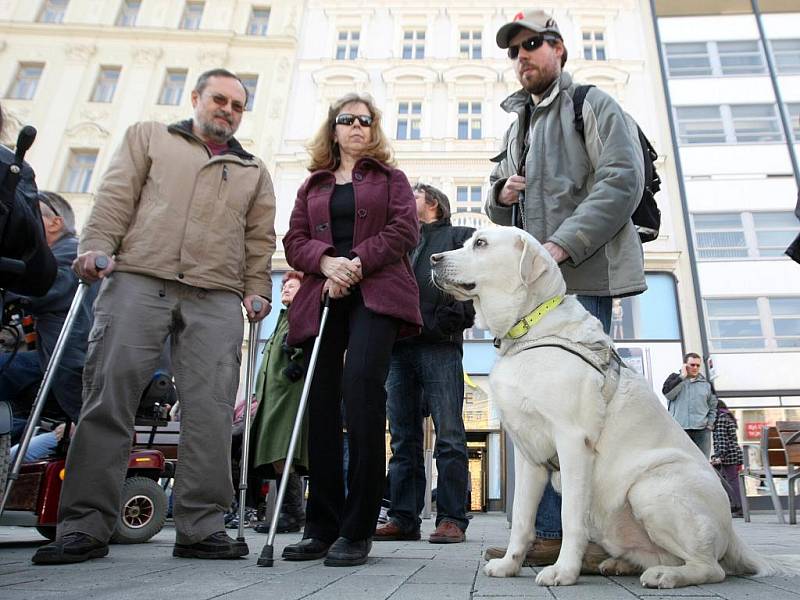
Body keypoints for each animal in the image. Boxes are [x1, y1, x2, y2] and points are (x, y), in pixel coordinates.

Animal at [428, 227, 796, 588]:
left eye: (480, 243)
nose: (433, 258)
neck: (530, 328)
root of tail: (734, 534)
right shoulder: (529, 455)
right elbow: (521, 518)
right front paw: (509, 565)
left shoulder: (573, 442)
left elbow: (569, 516)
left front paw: (563, 572)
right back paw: (619, 564)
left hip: (650, 487)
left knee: (711, 567)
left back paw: (666, 575)